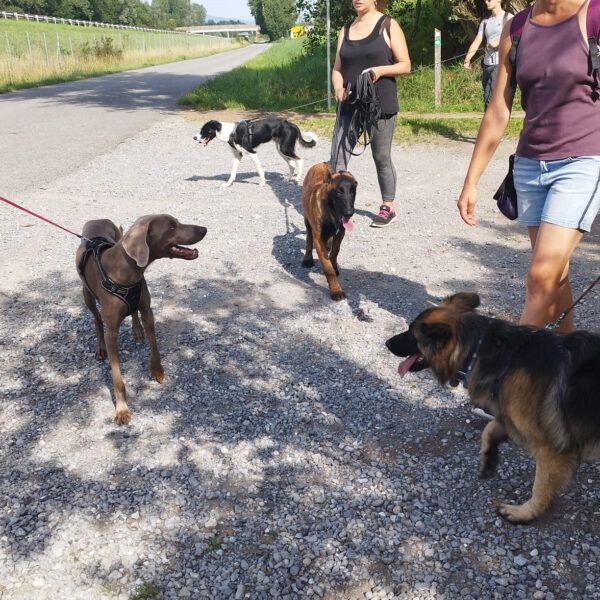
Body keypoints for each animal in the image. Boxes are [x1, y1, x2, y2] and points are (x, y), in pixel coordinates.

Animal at [76, 213, 207, 424]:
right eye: (172, 227)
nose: (204, 229)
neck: (127, 272)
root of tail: (97, 219)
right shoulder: (112, 332)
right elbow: (117, 379)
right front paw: (121, 409)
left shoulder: (148, 311)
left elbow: (154, 345)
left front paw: (157, 371)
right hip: (87, 295)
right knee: (96, 319)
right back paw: (100, 347)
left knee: (133, 311)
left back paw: (137, 330)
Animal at [300, 163, 356, 300]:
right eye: (339, 192)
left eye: (353, 190)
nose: (349, 213)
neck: (331, 212)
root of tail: (321, 163)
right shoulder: (318, 240)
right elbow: (328, 268)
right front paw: (336, 290)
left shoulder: (340, 233)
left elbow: (335, 252)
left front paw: (334, 264)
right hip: (307, 221)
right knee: (309, 239)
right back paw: (307, 258)